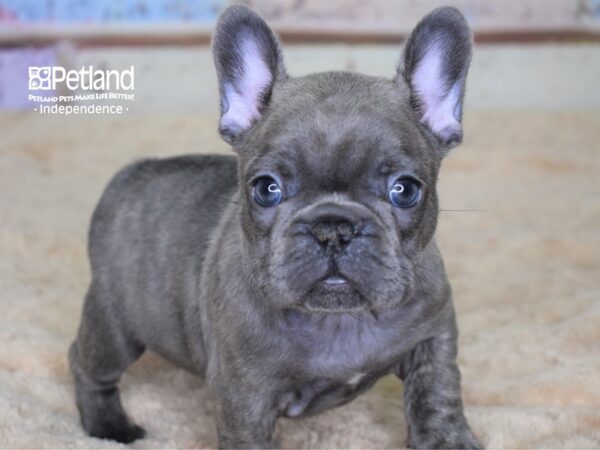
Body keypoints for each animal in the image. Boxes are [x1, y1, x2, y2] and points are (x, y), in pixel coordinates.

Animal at [69, 4, 482, 450]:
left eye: (405, 190)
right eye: (266, 189)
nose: (333, 227)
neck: (339, 319)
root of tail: (132, 173)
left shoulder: (433, 338)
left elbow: (436, 396)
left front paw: (449, 440)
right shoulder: (243, 396)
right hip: (115, 328)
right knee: (87, 364)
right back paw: (108, 426)